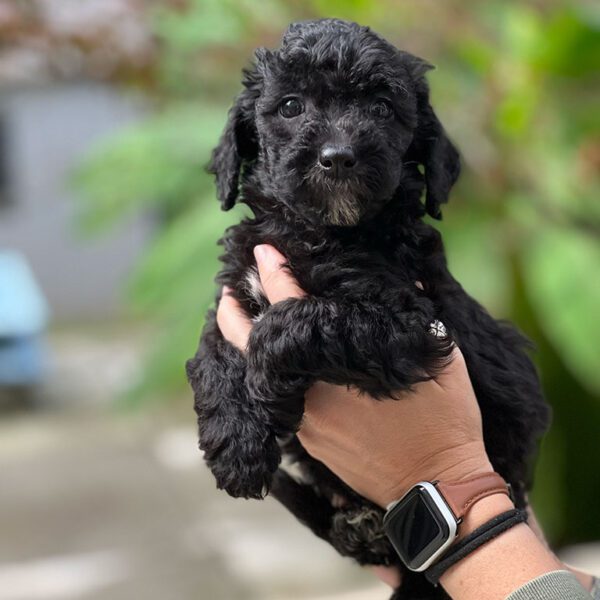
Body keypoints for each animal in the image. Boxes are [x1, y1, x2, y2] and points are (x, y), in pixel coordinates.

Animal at [186, 18, 548, 600]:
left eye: (381, 108)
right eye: (290, 106)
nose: (337, 156)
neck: (321, 231)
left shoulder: (411, 322)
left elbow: (294, 319)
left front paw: (265, 378)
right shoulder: (235, 292)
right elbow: (212, 351)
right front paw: (235, 444)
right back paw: (359, 525)